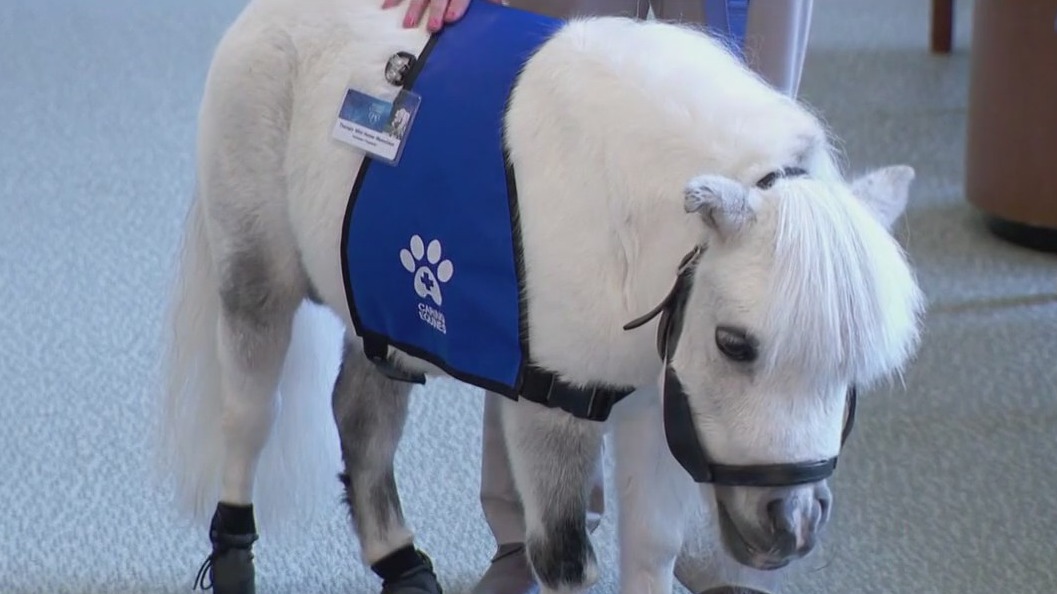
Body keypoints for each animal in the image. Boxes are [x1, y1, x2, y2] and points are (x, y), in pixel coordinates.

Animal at [155, 0, 926, 592]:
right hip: (256, 278)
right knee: (249, 415)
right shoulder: (550, 406)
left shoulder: (658, 404)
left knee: (360, 415)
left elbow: (652, 549)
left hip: (382, 301)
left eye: (858, 370)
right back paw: (234, 557)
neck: (623, 216)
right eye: (734, 344)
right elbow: (562, 557)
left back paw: (401, 563)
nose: (790, 526)